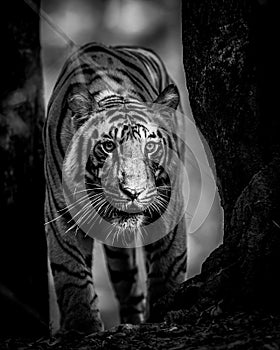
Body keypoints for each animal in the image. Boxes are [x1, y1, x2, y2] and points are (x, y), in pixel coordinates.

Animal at [43, 41, 187, 334]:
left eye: (150, 146)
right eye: (108, 146)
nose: (133, 192)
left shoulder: (170, 203)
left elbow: (169, 265)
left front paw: (167, 308)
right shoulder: (60, 213)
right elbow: (71, 273)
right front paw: (80, 326)